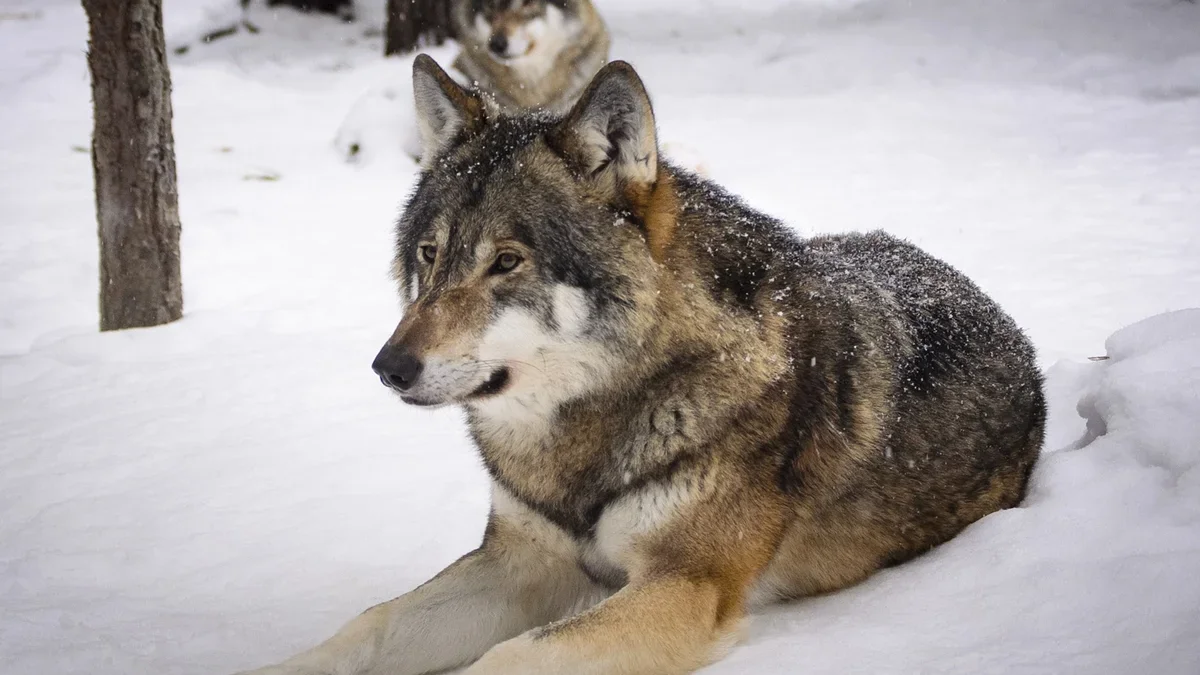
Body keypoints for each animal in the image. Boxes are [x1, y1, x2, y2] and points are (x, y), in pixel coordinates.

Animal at [234, 56, 1041, 672]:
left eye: (506, 262)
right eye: (430, 255)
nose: (389, 366)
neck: (593, 422)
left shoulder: (685, 586)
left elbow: (509, 656)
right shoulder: (520, 562)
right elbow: (370, 624)